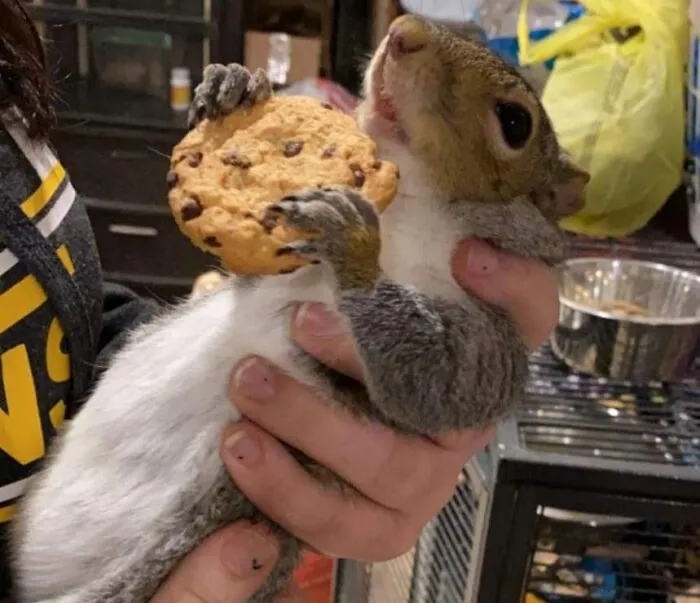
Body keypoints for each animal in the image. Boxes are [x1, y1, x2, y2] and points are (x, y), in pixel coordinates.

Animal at [12, 15, 588, 603]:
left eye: (515, 122)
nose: (405, 30)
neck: (407, 207)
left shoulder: (490, 335)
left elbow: (441, 384)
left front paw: (354, 240)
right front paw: (234, 85)